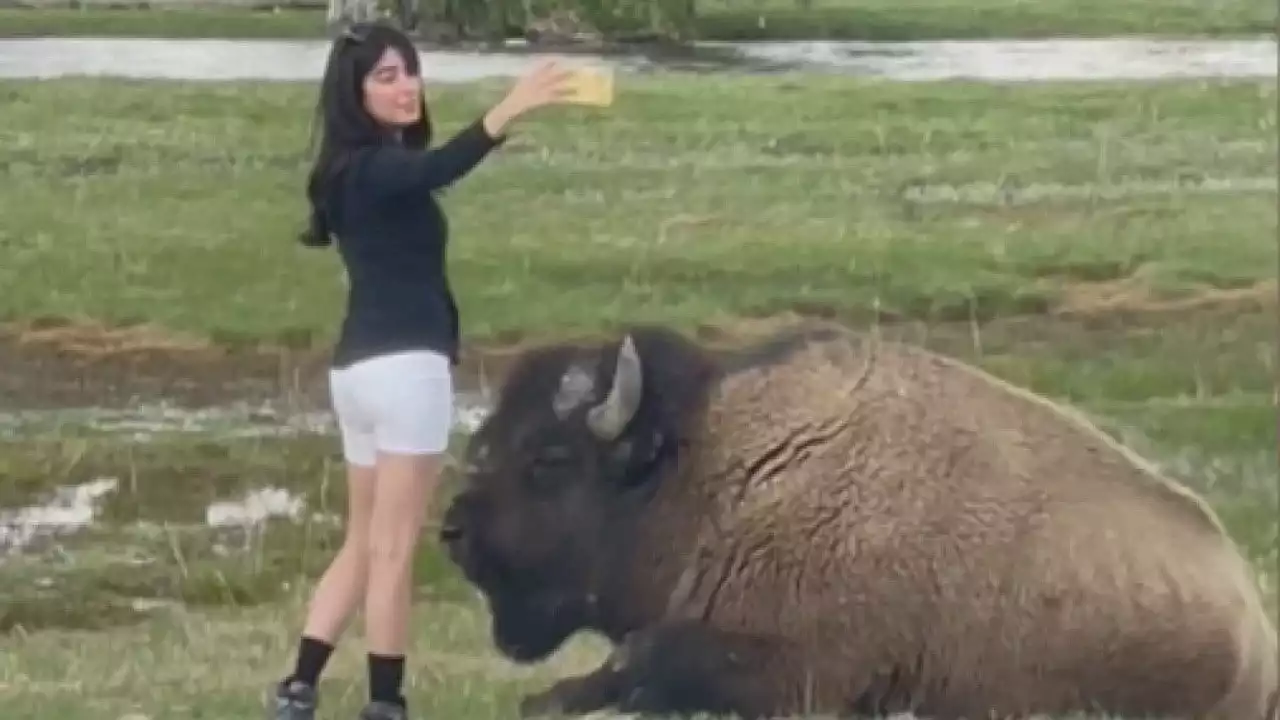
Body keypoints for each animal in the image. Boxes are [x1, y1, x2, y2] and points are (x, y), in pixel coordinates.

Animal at [437, 320, 1269, 717]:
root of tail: (1255, 626)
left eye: (549, 458)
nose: (453, 532)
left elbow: (643, 659)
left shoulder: (805, 671)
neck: (713, 470)